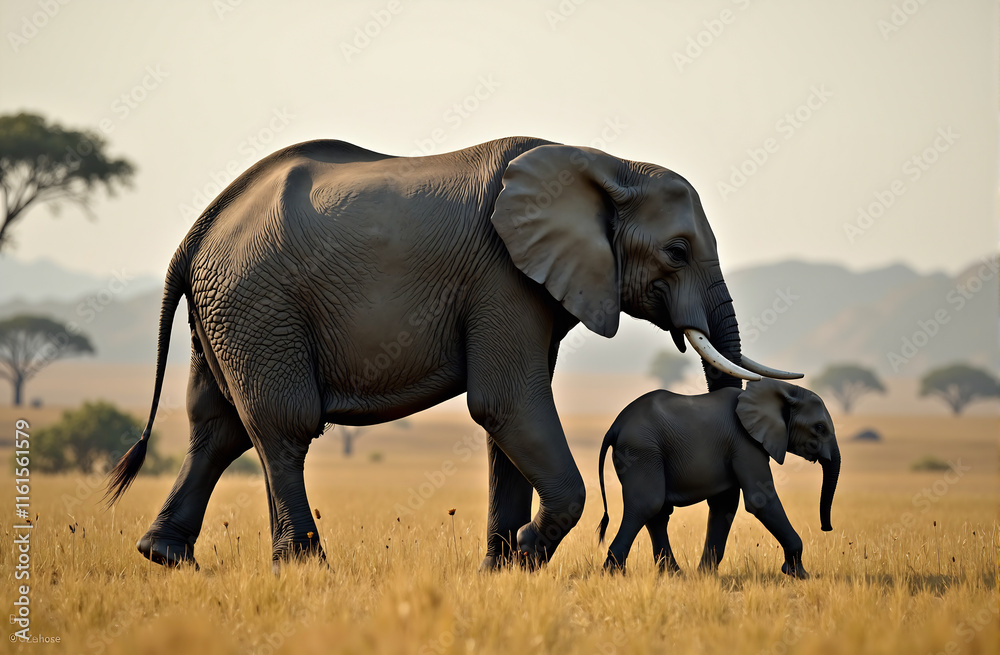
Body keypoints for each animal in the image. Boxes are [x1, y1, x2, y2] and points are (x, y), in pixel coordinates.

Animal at [105, 136, 799, 570]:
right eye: (677, 252)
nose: (705, 570)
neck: (605, 163)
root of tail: (201, 227)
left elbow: (505, 423)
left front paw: (504, 569)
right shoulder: (502, 276)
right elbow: (508, 404)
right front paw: (527, 551)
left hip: (229, 315)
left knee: (216, 428)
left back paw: (163, 557)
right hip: (258, 304)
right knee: (283, 428)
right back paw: (305, 567)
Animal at [597, 379, 840, 578]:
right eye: (819, 427)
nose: (827, 528)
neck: (780, 389)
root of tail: (615, 426)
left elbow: (724, 505)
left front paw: (705, 576)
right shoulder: (745, 442)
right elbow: (760, 500)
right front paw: (801, 575)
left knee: (658, 512)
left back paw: (675, 575)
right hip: (641, 450)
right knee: (648, 504)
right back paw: (612, 575)